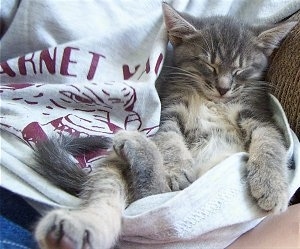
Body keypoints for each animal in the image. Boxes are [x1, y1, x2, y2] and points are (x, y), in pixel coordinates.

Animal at [32, 2, 296, 249]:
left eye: (240, 69)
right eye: (209, 65)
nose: (223, 88)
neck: (212, 100)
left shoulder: (260, 116)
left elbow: (270, 144)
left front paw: (272, 185)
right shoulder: (169, 109)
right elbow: (168, 138)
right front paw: (177, 167)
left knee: (155, 203)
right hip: (114, 168)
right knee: (144, 200)